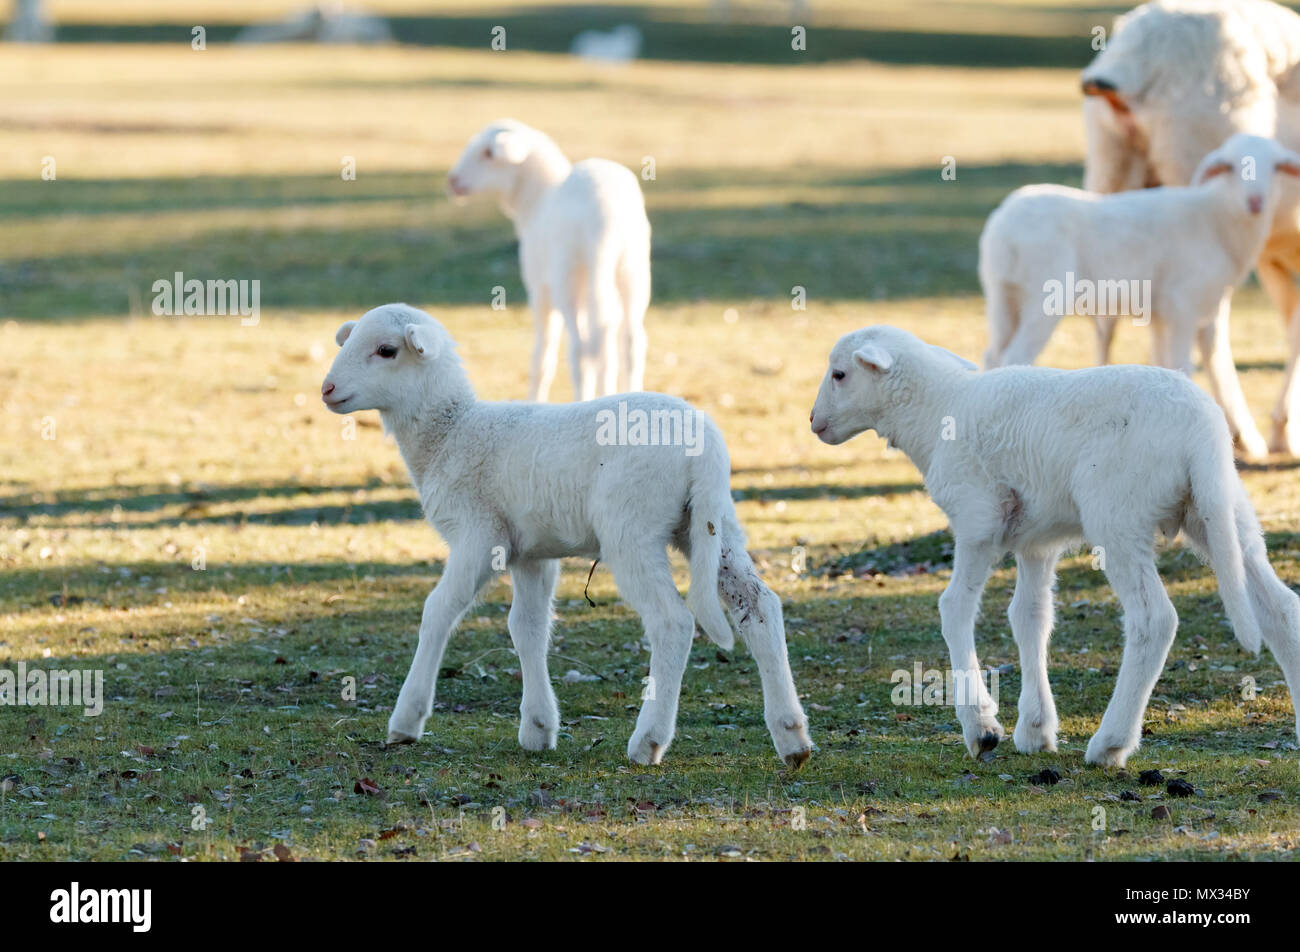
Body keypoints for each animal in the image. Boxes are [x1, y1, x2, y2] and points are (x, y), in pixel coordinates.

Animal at [321, 303, 812, 767]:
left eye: (386, 350)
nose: (326, 388)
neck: (451, 432)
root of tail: (705, 448)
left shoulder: (479, 535)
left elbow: (438, 611)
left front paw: (407, 721)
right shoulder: (530, 552)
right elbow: (528, 628)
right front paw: (538, 728)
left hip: (632, 528)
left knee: (672, 622)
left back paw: (648, 741)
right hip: (712, 525)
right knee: (760, 607)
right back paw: (792, 738)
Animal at [447, 120, 651, 403]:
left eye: (488, 153)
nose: (452, 180)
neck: (536, 200)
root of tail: (606, 213)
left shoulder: (539, 289)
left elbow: (542, 356)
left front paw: (534, 400)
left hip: (568, 275)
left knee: (581, 348)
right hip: (631, 269)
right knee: (629, 342)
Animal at [810, 324, 1300, 767]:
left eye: (839, 375)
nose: (814, 422)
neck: (936, 411)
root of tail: (1202, 432)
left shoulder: (976, 519)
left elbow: (955, 608)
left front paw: (981, 727)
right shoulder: (1037, 541)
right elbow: (1029, 617)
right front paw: (1035, 729)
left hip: (1117, 516)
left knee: (1154, 620)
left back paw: (1109, 744)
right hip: (1219, 509)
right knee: (1279, 607)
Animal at [980, 133, 1300, 461]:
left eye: (1276, 167)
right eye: (1231, 167)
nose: (1256, 202)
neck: (1216, 218)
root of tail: (1005, 224)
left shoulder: (1170, 312)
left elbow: (1178, 362)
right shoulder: (1182, 304)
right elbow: (1184, 363)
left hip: (1002, 295)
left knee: (993, 355)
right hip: (1042, 296)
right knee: (1016, 356)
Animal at [1081, 0, 1300, 455]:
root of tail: (1137, 55)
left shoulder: (1273, 254)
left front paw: (1284, 429)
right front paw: (1284, 429)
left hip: (1111, 171)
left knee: (1106, 312)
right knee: (1209, 328)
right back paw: (1239, 433)